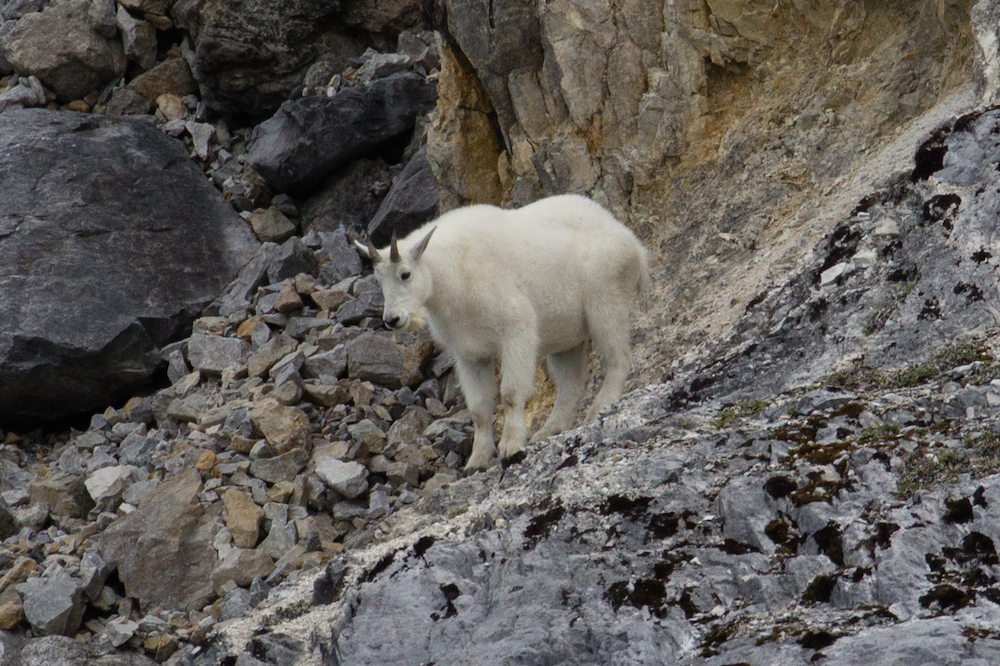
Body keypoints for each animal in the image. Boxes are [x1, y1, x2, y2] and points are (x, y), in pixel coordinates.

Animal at [355, 194, 650, 471]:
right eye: (379, 280)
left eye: (405, 274)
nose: (392, 319)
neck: (452, 273)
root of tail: (633, 243)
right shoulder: (469, 354)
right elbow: (478, 408)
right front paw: (477, 459)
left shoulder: (516, 331)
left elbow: (510, 393)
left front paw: (511, 445)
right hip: (565, 335)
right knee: (571, 382)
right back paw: (549, 430)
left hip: (606, 302)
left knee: (618, 359)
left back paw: (600, 408)